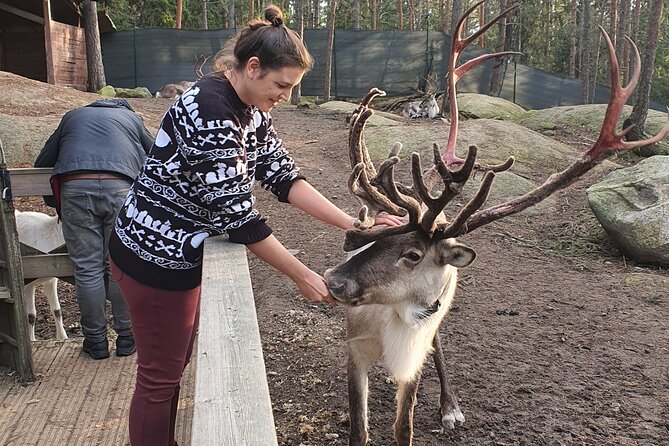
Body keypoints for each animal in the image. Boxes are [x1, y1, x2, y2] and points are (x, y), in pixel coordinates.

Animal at [323, 2, 669, 446]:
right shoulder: (355, 349)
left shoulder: (416, 349)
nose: (332, 279)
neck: (394, 321)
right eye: (376, 237)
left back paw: (450, 406)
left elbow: (405, 425)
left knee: (439, 346)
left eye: (413, 253)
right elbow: (360, 428)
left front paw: (438, 409)